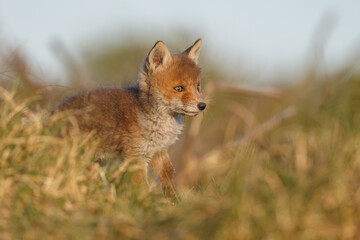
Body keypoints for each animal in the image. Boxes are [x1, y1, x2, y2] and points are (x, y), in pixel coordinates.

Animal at [57, 39, 207, 199]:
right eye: (179, 88)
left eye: (198, 87)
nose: (202, 105)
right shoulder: (136, 156)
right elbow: (142, 188)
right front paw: (146, 203)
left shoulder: (157, 151)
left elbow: (169, 175)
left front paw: (174, 201)